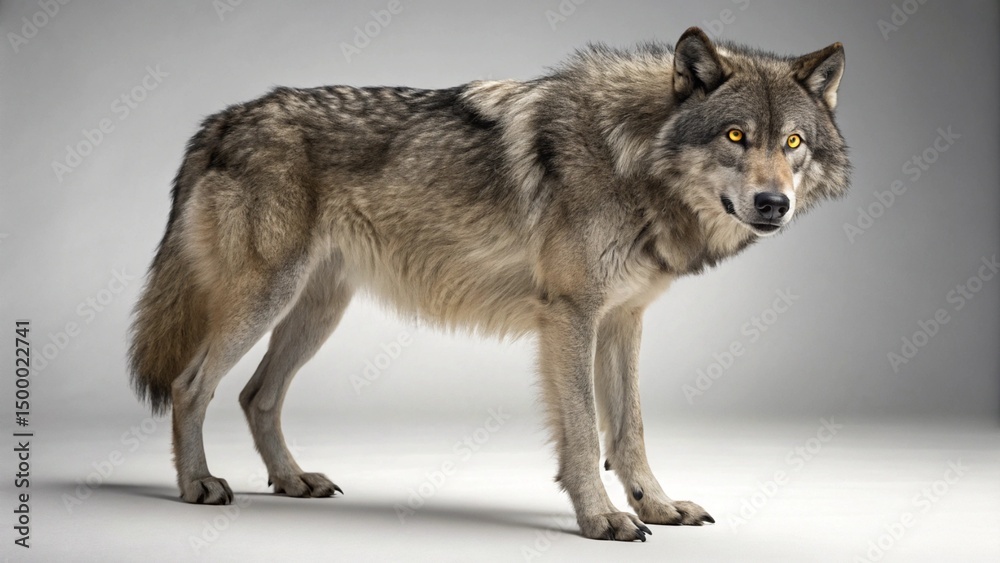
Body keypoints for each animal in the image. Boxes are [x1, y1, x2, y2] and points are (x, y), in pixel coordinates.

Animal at [129, 27, 849, 541]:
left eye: (792, 142)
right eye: (736, 135)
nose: (773, 204)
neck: (633, 158)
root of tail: (225, 118)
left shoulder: (623, 320)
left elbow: (630, 431)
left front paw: (659, 505)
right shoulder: (571, 316)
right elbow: (585, 433)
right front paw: (603, 518)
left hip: (317, 312)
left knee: (257, 396)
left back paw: (292, 480)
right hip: (265, 301)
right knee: (191, 385)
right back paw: (198, 484)